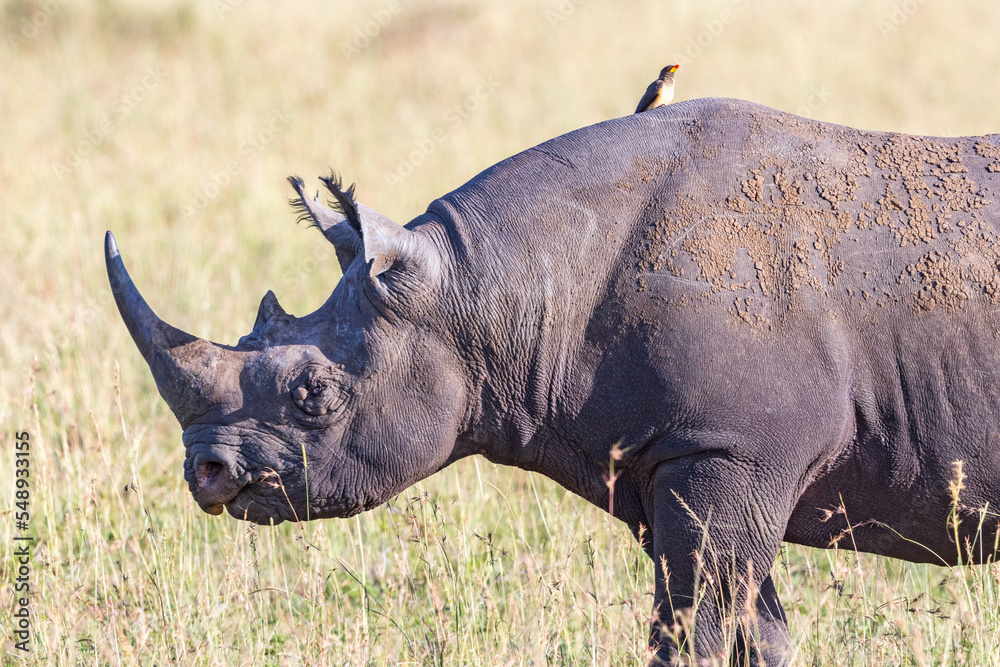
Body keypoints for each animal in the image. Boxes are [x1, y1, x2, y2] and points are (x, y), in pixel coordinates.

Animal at [106, 97, 1000, 665]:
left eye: (314, 397)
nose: (205, 471)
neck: (491, 287)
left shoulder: (732, 450)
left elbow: (693, 629)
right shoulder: (676, 458)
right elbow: (753, 629)